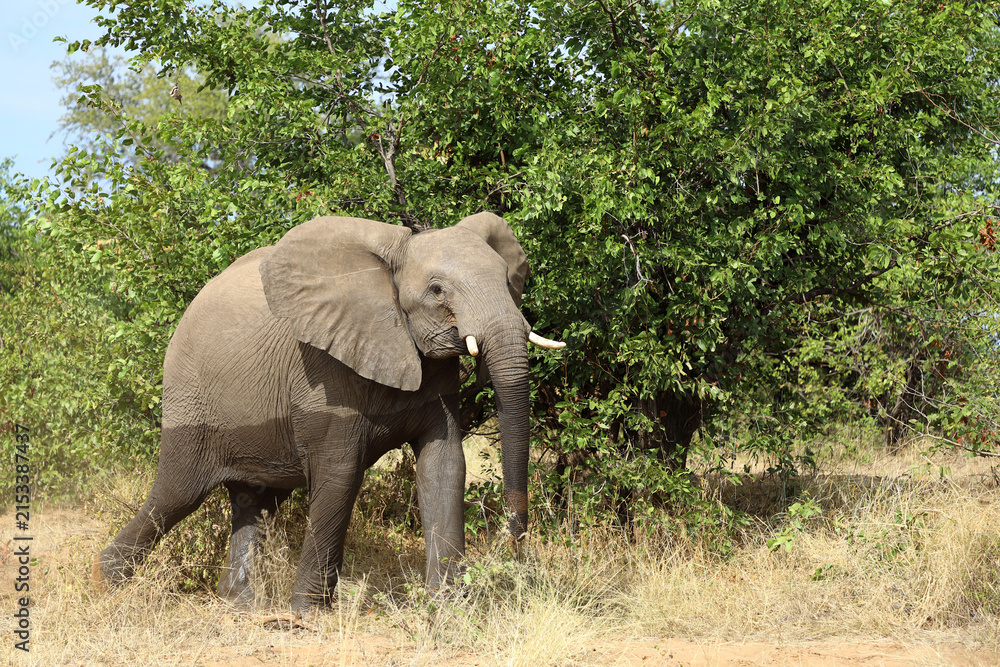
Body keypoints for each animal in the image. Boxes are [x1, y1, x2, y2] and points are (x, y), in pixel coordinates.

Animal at [92, 212, 564, 612]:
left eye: (507, 280)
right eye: (437, 290)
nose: (514, 540)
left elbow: (443, 465)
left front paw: (449, 610)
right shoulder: (324, 367)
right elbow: (340, 473)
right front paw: (307, 616)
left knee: (254, 500)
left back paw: (240, 605)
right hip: (190, 399)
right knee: (177, 494)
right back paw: (105, 585)